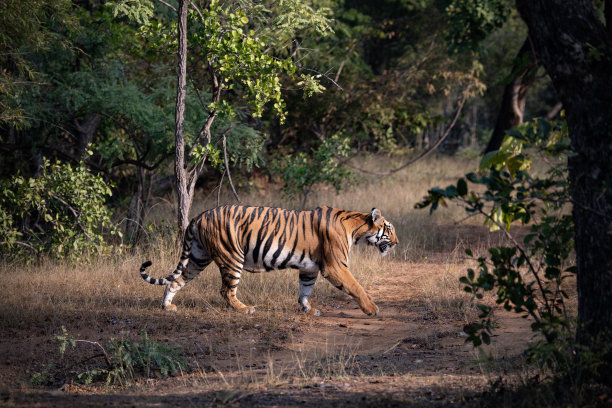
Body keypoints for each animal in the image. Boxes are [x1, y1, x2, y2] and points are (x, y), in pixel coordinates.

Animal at [138, 206, 396, 318]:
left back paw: (168, 306)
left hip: (198, 258)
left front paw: (308, 309)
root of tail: (199, 216)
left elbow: (305, 290)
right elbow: (356, 287)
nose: (397, 242)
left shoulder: (310, 268)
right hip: (232, 257)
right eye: (389, 229)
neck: (356, 228)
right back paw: (245, 309)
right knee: (225, 290)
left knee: (176, 280)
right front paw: (372, 309)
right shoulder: (335, 266)